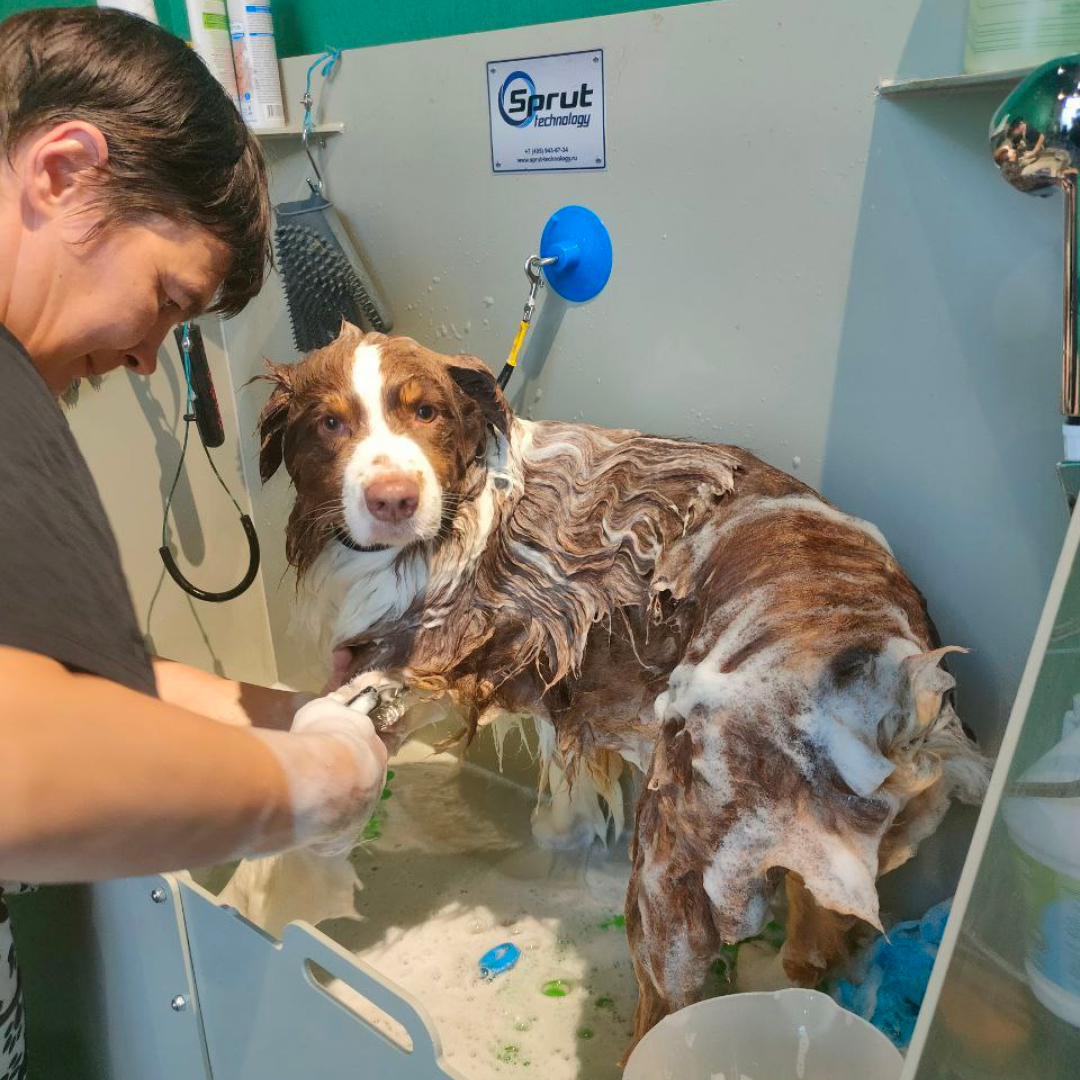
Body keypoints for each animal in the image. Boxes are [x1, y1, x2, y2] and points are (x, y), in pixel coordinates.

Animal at [257, 326, 989, 1054]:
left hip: (672, 861)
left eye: (426, 411)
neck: (467, 501)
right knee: (811, 951)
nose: (394, 499)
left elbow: (366, 699)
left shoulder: (448, 644)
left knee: (667, 1008)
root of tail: (891, 680)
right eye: (330, 423)